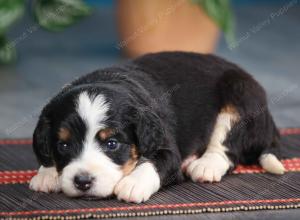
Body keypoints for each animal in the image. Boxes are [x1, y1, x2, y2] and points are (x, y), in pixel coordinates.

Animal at [28, 51, 284, 203]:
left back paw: (204, 165)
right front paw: (46, 174)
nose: (82, 181)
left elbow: (154, 163)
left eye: (112, 144)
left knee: (226, 148)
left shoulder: (166, 146)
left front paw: (133, 184)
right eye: (63, 146)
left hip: (239, 94)